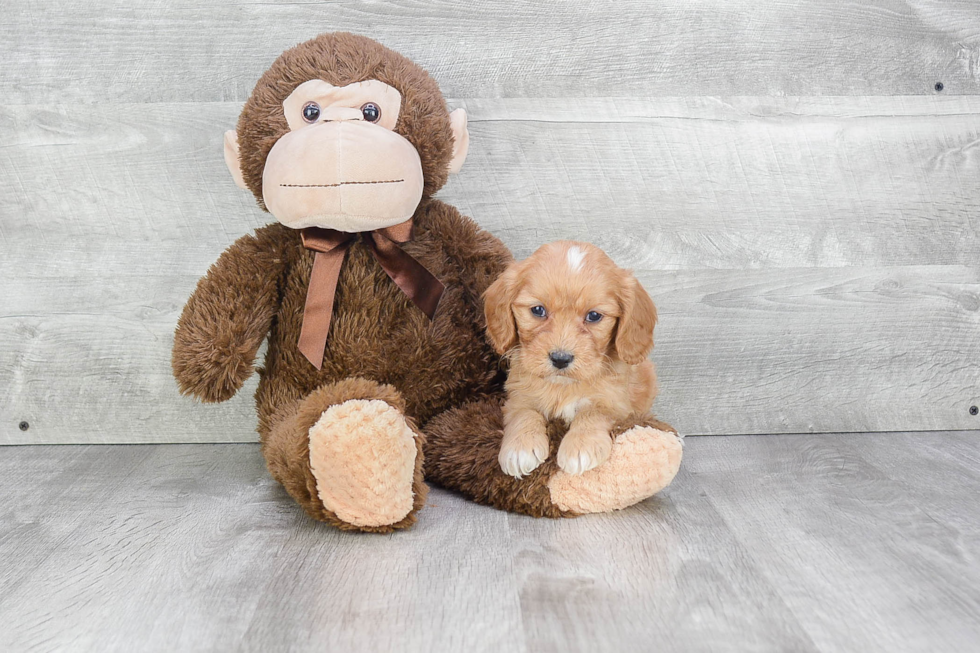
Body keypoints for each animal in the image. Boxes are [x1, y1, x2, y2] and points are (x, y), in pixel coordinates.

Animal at [482, 242, 660, 476]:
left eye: (594, 316)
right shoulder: (518, 394)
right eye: (538, 310)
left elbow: (594, 411)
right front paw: (520, 447)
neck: (563, 386)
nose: (560, 359)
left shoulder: (617, 403)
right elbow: (524, 412)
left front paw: (581, 446)